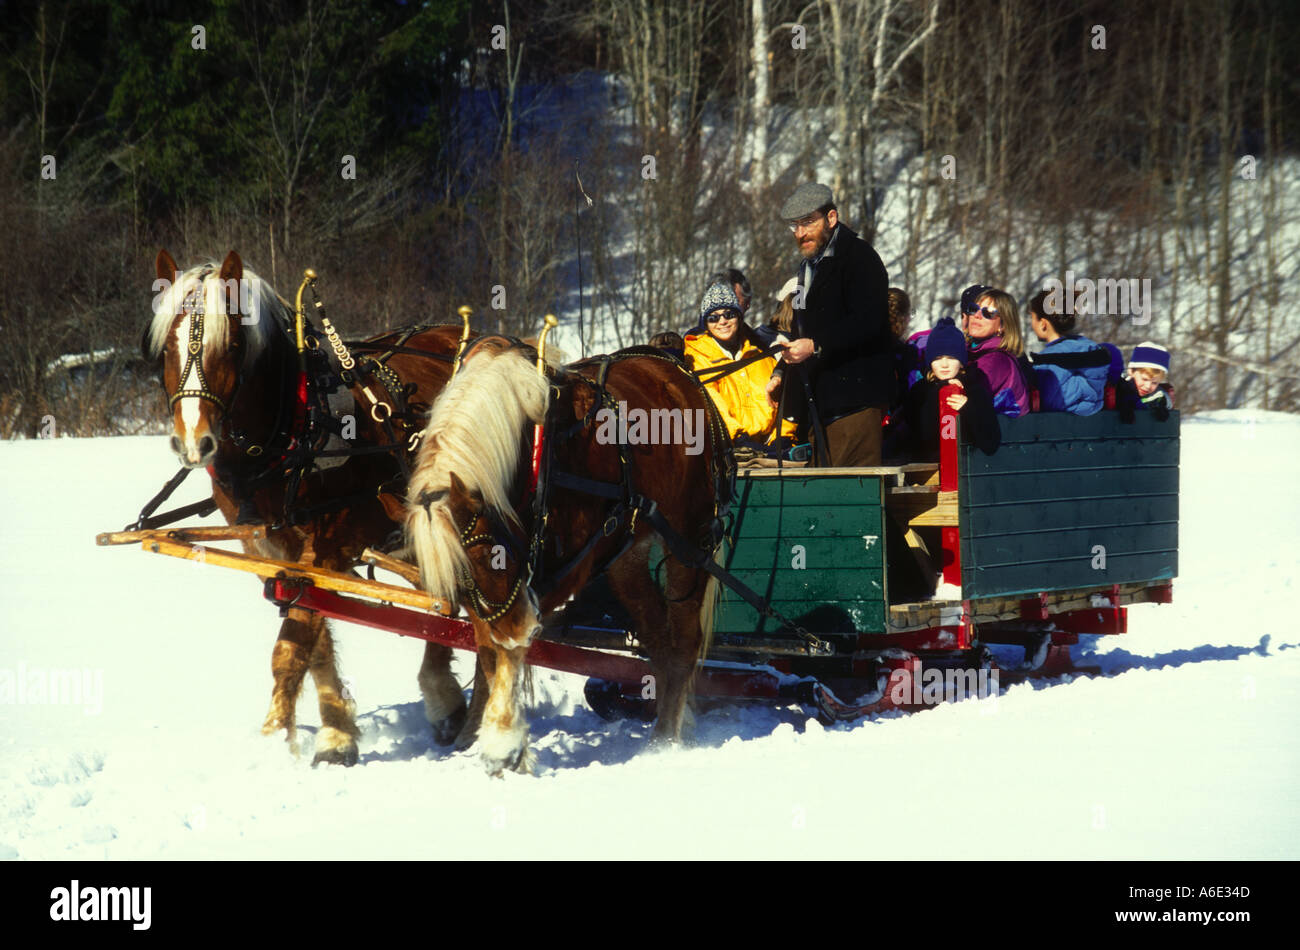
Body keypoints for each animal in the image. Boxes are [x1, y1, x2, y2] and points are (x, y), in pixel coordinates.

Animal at [405, 335, 733, 774]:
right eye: (459, 574)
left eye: (491, 553)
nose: (517, 627)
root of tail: (672, 361)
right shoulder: (501, 600)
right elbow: (489, 650)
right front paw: (495, 737)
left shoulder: (558, 571)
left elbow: (509, 652)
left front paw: (504, 743)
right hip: (625, 556)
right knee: (658, 639)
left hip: (689, 541)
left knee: (683, 641)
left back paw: (664, 741)